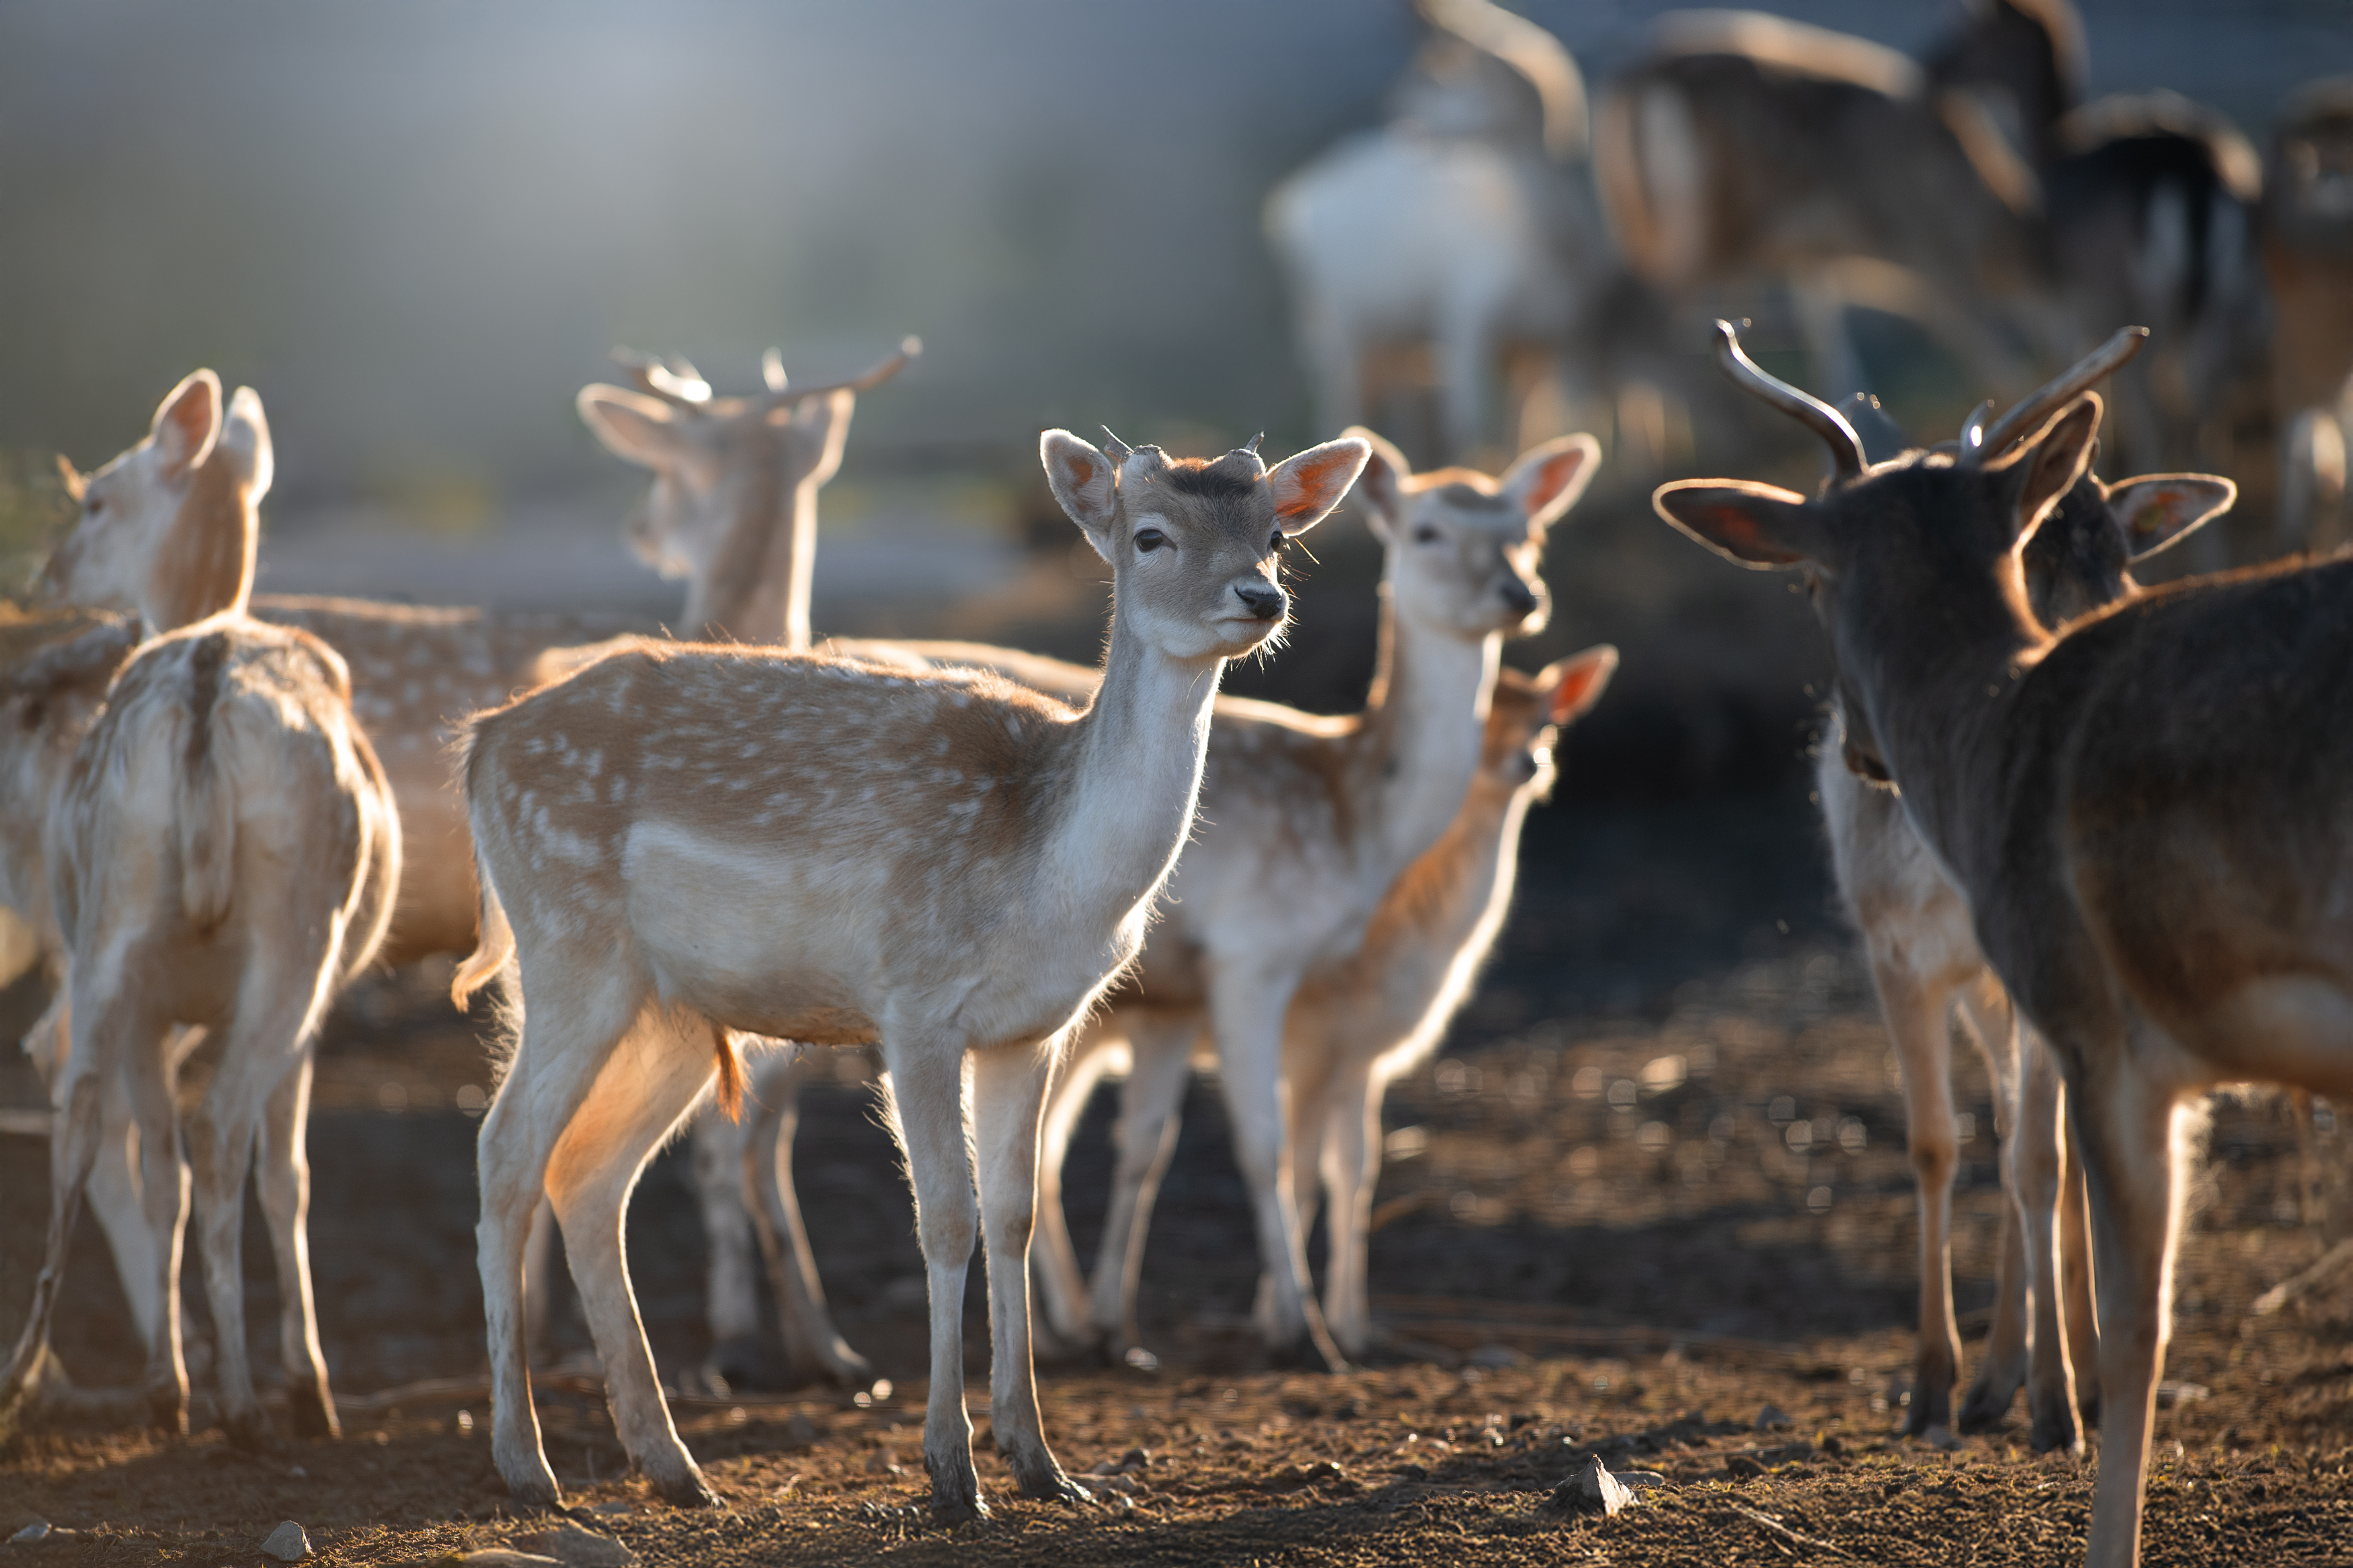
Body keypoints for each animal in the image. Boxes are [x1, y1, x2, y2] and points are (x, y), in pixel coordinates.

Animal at [1, 369, 400, 1448]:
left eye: (96, 498)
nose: (45, 573)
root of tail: (206, 676)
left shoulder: (149, 998)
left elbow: (155, 1167)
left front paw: (167, 1375)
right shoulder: (314, 1011)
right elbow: (285, 1177)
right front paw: (302, 1379)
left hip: (114, 919)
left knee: (80, 1108)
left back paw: (40, 1376)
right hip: (297, 942)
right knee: (221, 1128)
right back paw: (251, 1399)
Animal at [449, 423, 1374, 1514]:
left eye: (1275, 533)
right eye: (1150, 534)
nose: (1260, 598)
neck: (1048, 874)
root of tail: (480, 744)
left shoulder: (1034, 1028)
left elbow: (1015, 1213)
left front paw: (1045, 1462)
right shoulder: (915, 1002)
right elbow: (944, 1218)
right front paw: (951, 1471)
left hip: (668, 1007)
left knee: (589, 1173)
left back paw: (672, 1464)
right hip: (567, 946)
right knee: (506, 1150)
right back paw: (527, 1463)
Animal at [1271, 0, 1619, 465]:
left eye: (1461, 76)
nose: (1401, 113)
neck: (1546, 247)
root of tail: (1292, 200)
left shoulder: (1553, 344)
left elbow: (1530, 426)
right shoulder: (1467, 321)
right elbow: (1470, 421)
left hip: (1395, 332)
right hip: (1339, 317)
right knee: (1342, 401)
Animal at [1657, 319, 2353, 1568]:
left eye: (2121, 555)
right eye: (2034, 556)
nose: (1866, 755)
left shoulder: (2075, 1007)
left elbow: (2051, 1176)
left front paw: (2058, 1402)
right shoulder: (1899, 954)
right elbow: (1938, 1144)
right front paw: (1939, 1384)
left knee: (2043, 1157)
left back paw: (2038, 1376)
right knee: (1996, 1132)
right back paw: (1997, 1372)